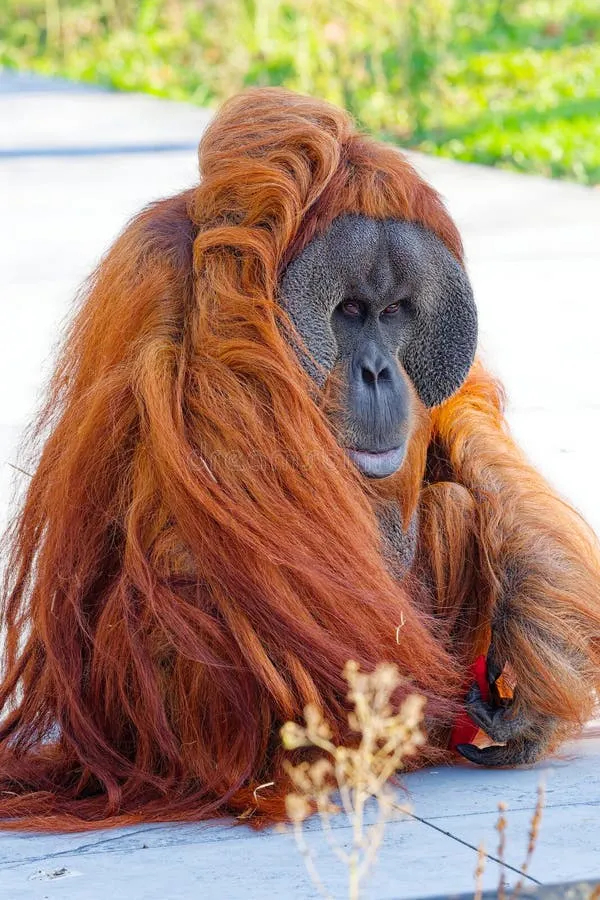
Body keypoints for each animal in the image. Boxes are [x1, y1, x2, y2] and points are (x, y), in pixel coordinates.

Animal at [0, 87, 598, 830]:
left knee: (454, 501)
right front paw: (263, 180)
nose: (377, 371)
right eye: (349, 311)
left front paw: (545, 661)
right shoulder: (160, 279)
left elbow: (463, 413)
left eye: (394, 312)